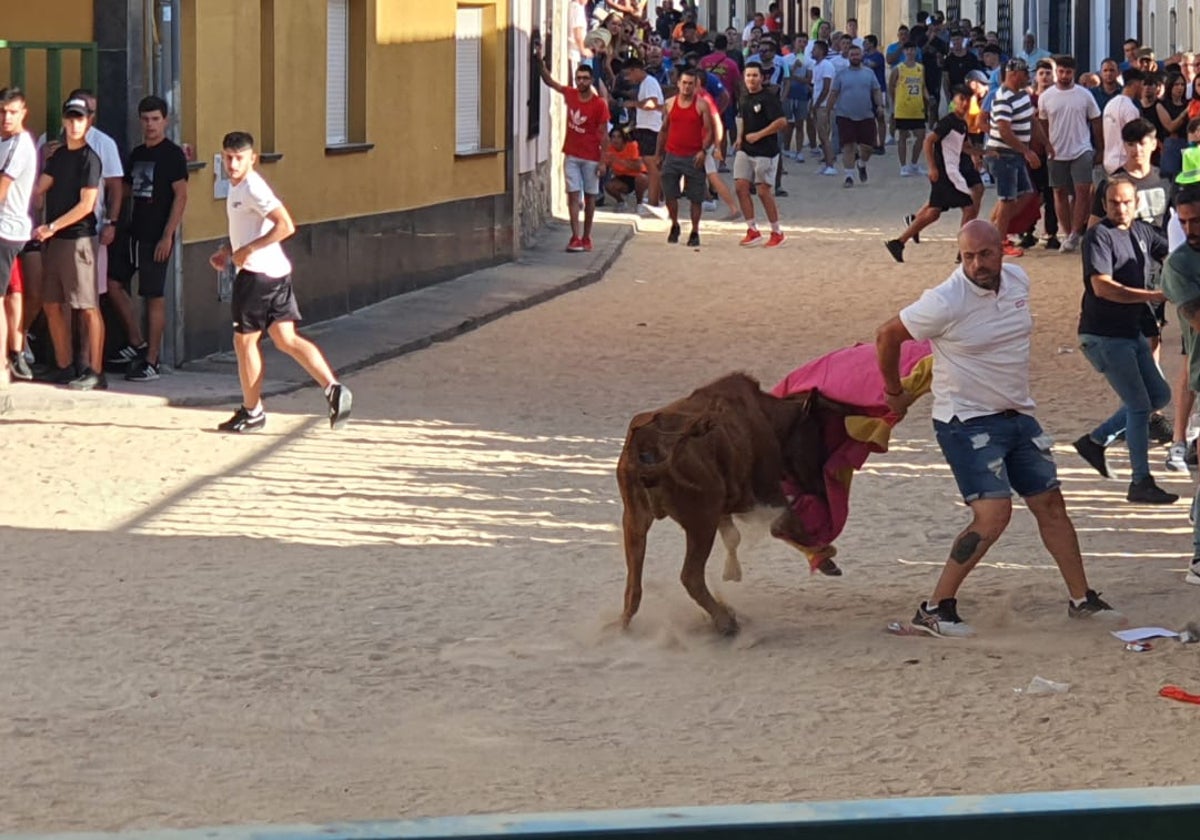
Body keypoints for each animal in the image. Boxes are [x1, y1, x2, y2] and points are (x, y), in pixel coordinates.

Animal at [619, 369, 835, 633]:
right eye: (818, 439)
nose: (822, 490)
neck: (767, 415)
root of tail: (647, 444)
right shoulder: (766, 492)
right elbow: (787, 523)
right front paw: (826, 557)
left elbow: (737, 535)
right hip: (701, 520)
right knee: (690, 576)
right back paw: (725, 621)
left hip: (634, 519)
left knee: (633, 584)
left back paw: (623, 624)